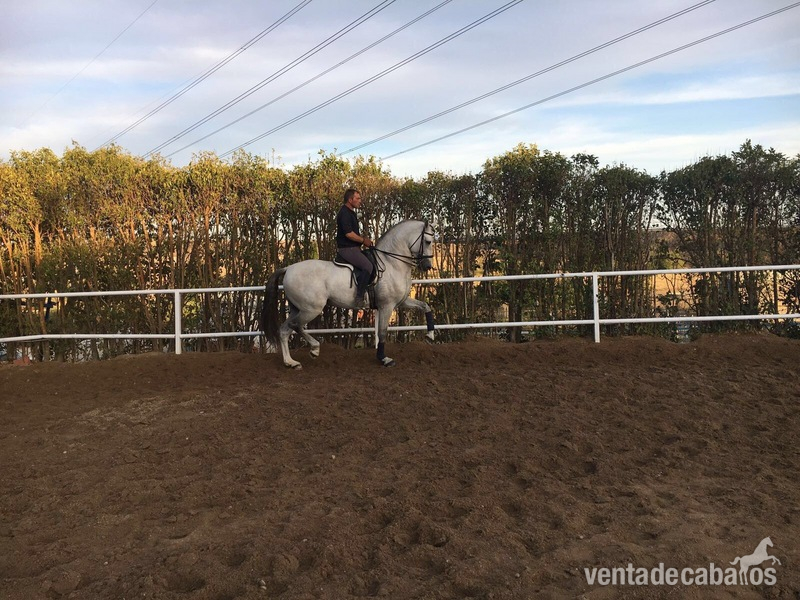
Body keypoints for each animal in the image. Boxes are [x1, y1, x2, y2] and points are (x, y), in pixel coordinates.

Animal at [261, 219, 436, 369]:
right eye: (428, 242)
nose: (428, 266)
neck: (391, 263)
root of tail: (288, 268)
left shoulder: (401, 301)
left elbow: (426, 306)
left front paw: (430, 336)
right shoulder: (386, 306)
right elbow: (382, 332)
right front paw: (384, 359)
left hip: (298, 308)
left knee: (284, 330)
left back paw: (291, 362)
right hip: (311, 309)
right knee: (295, 325)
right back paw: (314, 349)